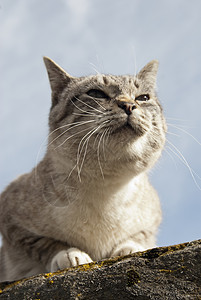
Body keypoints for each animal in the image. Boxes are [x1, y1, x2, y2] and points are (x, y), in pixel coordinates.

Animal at [0, 56, 166, 282]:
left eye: (143, 98)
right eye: (96, 93)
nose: (129, 105)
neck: (106, 189)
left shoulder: (152, 221)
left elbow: (139, 237)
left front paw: (130, 249)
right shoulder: (12, 221)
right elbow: (47, 243)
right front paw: (71, 255)